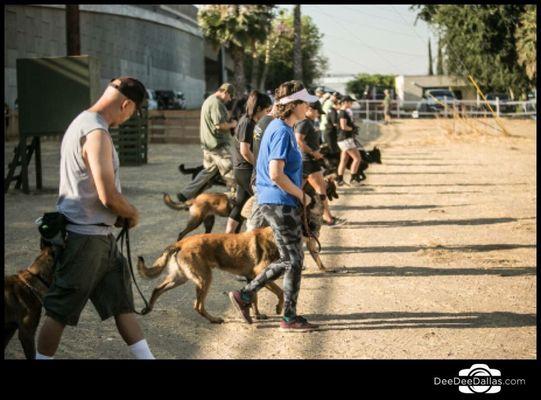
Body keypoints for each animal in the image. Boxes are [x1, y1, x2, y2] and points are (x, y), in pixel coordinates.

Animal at [137, 227, 282, 324]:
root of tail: (181, 243)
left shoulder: (252, 279)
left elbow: (254, 298)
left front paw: (257, 315)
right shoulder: (263, 275)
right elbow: (280, 292)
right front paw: (279, 308)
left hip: (179, 278)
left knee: (157, 289)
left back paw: (148, 308)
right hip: (205, 279)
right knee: (198, 306)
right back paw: (214, 319)